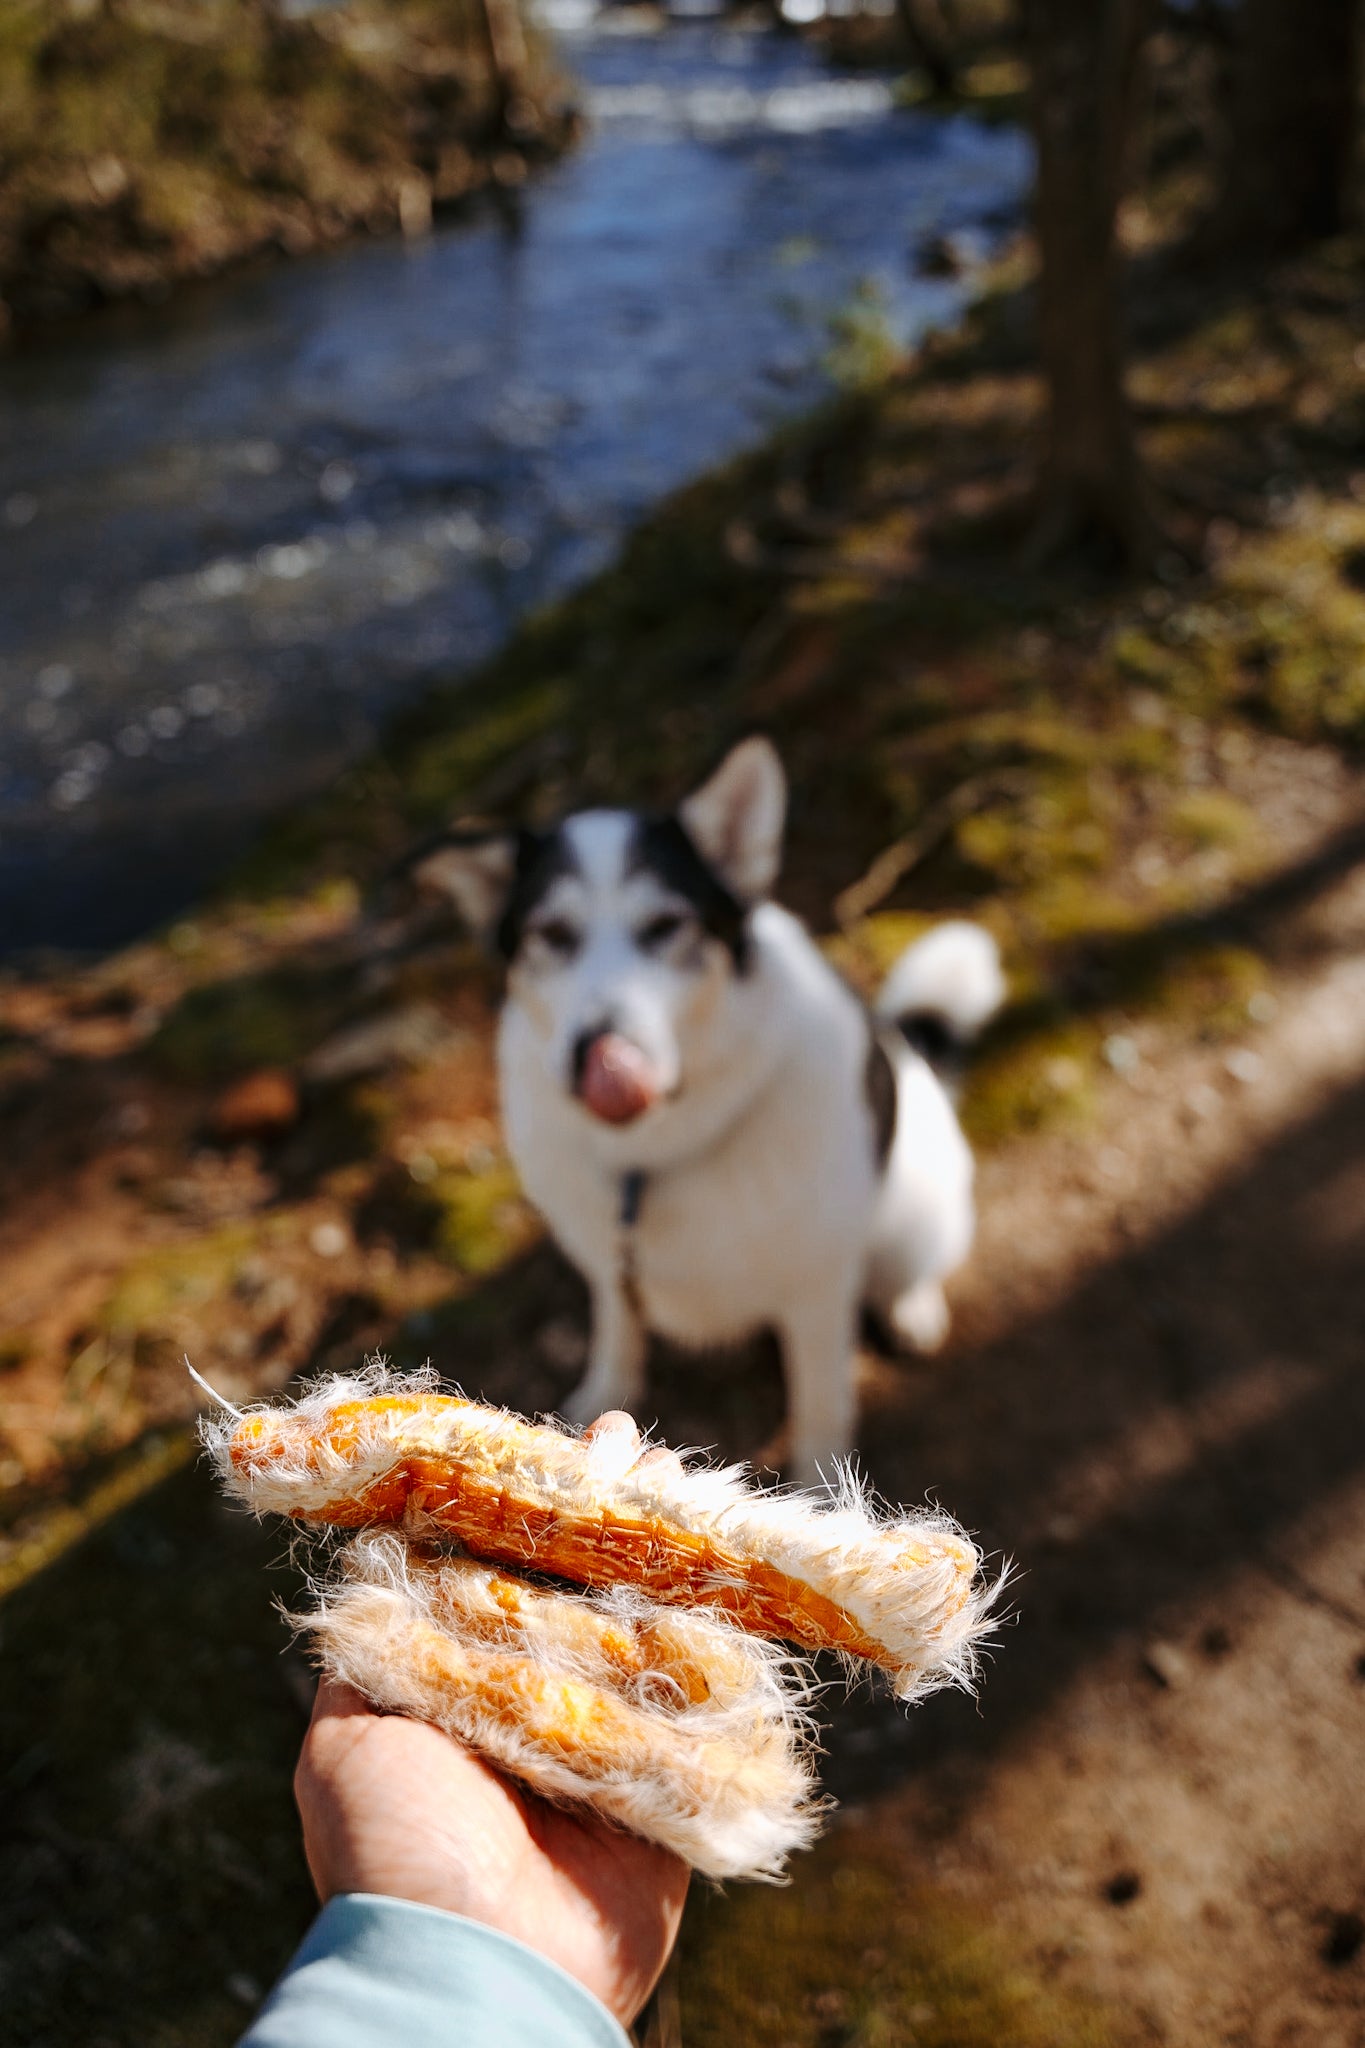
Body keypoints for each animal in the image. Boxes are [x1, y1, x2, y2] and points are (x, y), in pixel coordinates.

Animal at [417, 745, 1002, 1482]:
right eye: (551, 933)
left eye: (666, 926)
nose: (597, 1055)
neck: (656, 1154)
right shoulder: (608, 1260)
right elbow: (617, 1332)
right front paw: (597, 1399)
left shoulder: (816, 1291)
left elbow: (820, 1406)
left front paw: (823, 1494)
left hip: (915, 1210)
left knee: (911, 1267)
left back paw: (912, 1309)